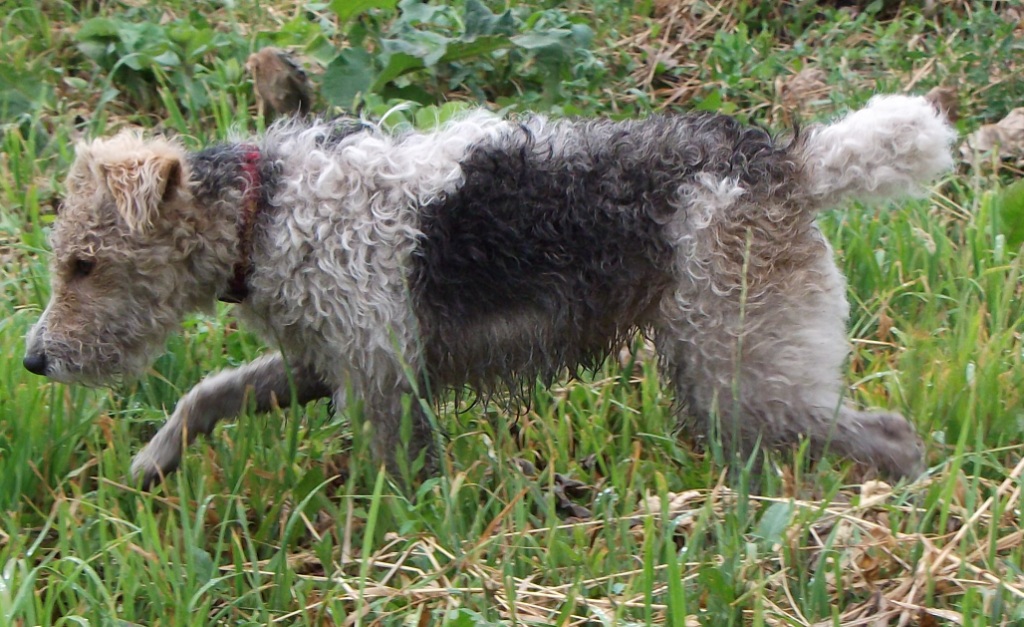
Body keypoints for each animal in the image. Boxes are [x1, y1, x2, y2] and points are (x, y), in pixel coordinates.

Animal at [23, 95, 955, 488]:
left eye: (84, 263)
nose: (33, 361)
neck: (265, 208)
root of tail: (790, 163)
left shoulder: (382, 378)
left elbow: (397, 481)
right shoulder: (327, 360)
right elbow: (205, 393)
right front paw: (152, 462)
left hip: (744, 374)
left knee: (893, 435)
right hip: (731, 377)